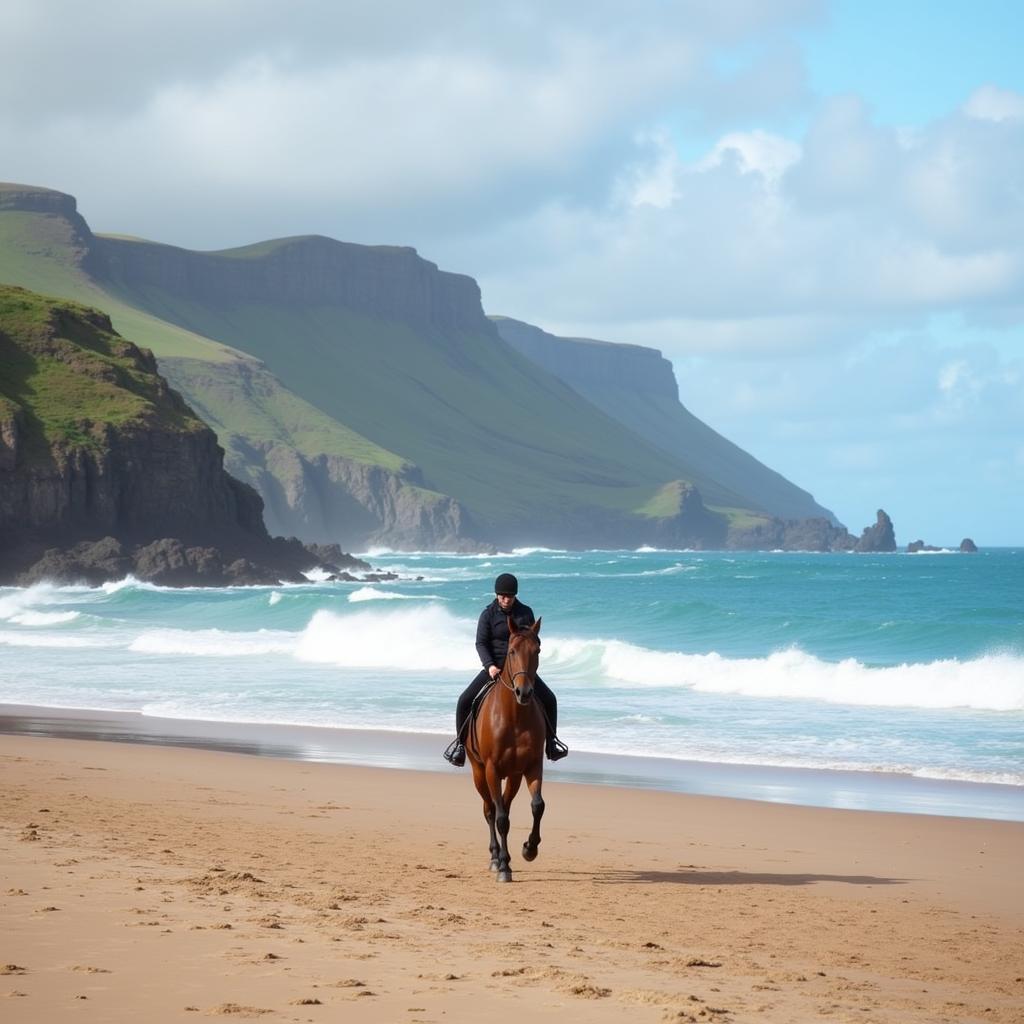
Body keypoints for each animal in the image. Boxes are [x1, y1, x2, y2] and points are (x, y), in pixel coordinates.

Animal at [468, 610, 548, 884]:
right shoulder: (491, 769)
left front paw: (530, 849)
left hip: (512, 777)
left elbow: (538, 806)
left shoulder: (532, 766)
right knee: (491, 810)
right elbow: (500, 818)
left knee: (505, 805)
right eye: (512, 651)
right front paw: (503, 867)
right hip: (479, 772)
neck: (514, 717)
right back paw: (496, 857)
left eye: (537, 650)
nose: (524, 692)